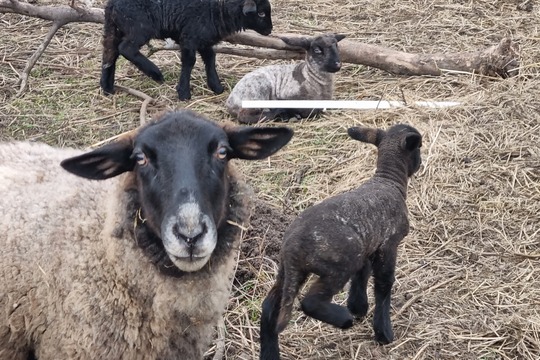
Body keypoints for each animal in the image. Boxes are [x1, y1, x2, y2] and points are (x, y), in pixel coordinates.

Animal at [99, 0, 272, 100]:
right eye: (261, 13)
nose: (270, 30)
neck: (218, 8)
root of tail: (111, 5)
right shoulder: (190, 36)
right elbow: (189, 62)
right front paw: (183, 93)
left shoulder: (204, 39)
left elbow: (210, 58)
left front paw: (216, 86)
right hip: (140, 28)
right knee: (125, 48)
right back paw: (155, 73)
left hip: (115, 28)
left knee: (109, 53)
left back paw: (107, 88)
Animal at [260, 124, 422, 360]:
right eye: (419, 147)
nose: (420, 164)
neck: (388, 180)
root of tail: (291, 247)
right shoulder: (388, 244)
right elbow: (384, 284)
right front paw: (383, 332)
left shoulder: (368, 244)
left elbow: (362, 275)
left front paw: (358, 307)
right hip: (339, 264)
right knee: (310, 301)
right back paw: (343, 319)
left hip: (289, 272)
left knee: (269, 307)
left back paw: (269, 353)